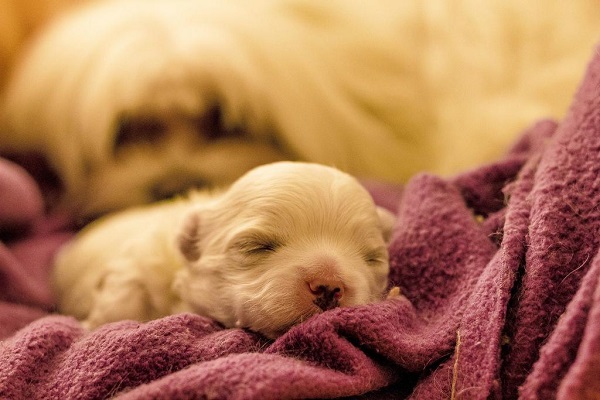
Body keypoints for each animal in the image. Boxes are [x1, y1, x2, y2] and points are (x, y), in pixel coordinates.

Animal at [52, 162, 398, 338]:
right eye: (257, 246)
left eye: (371, 258)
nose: (328, 285)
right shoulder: (140, 261)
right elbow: (121, 298)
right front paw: (94, 326)